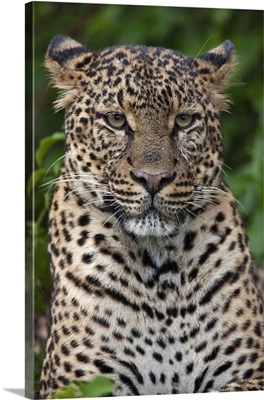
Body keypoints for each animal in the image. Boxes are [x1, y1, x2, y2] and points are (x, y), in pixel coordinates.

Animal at [37, 34, 264, 396]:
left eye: (184, 121)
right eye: (116, 120)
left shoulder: (249, 374)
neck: (161, 278)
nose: (153, 179)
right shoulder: (74, 385)